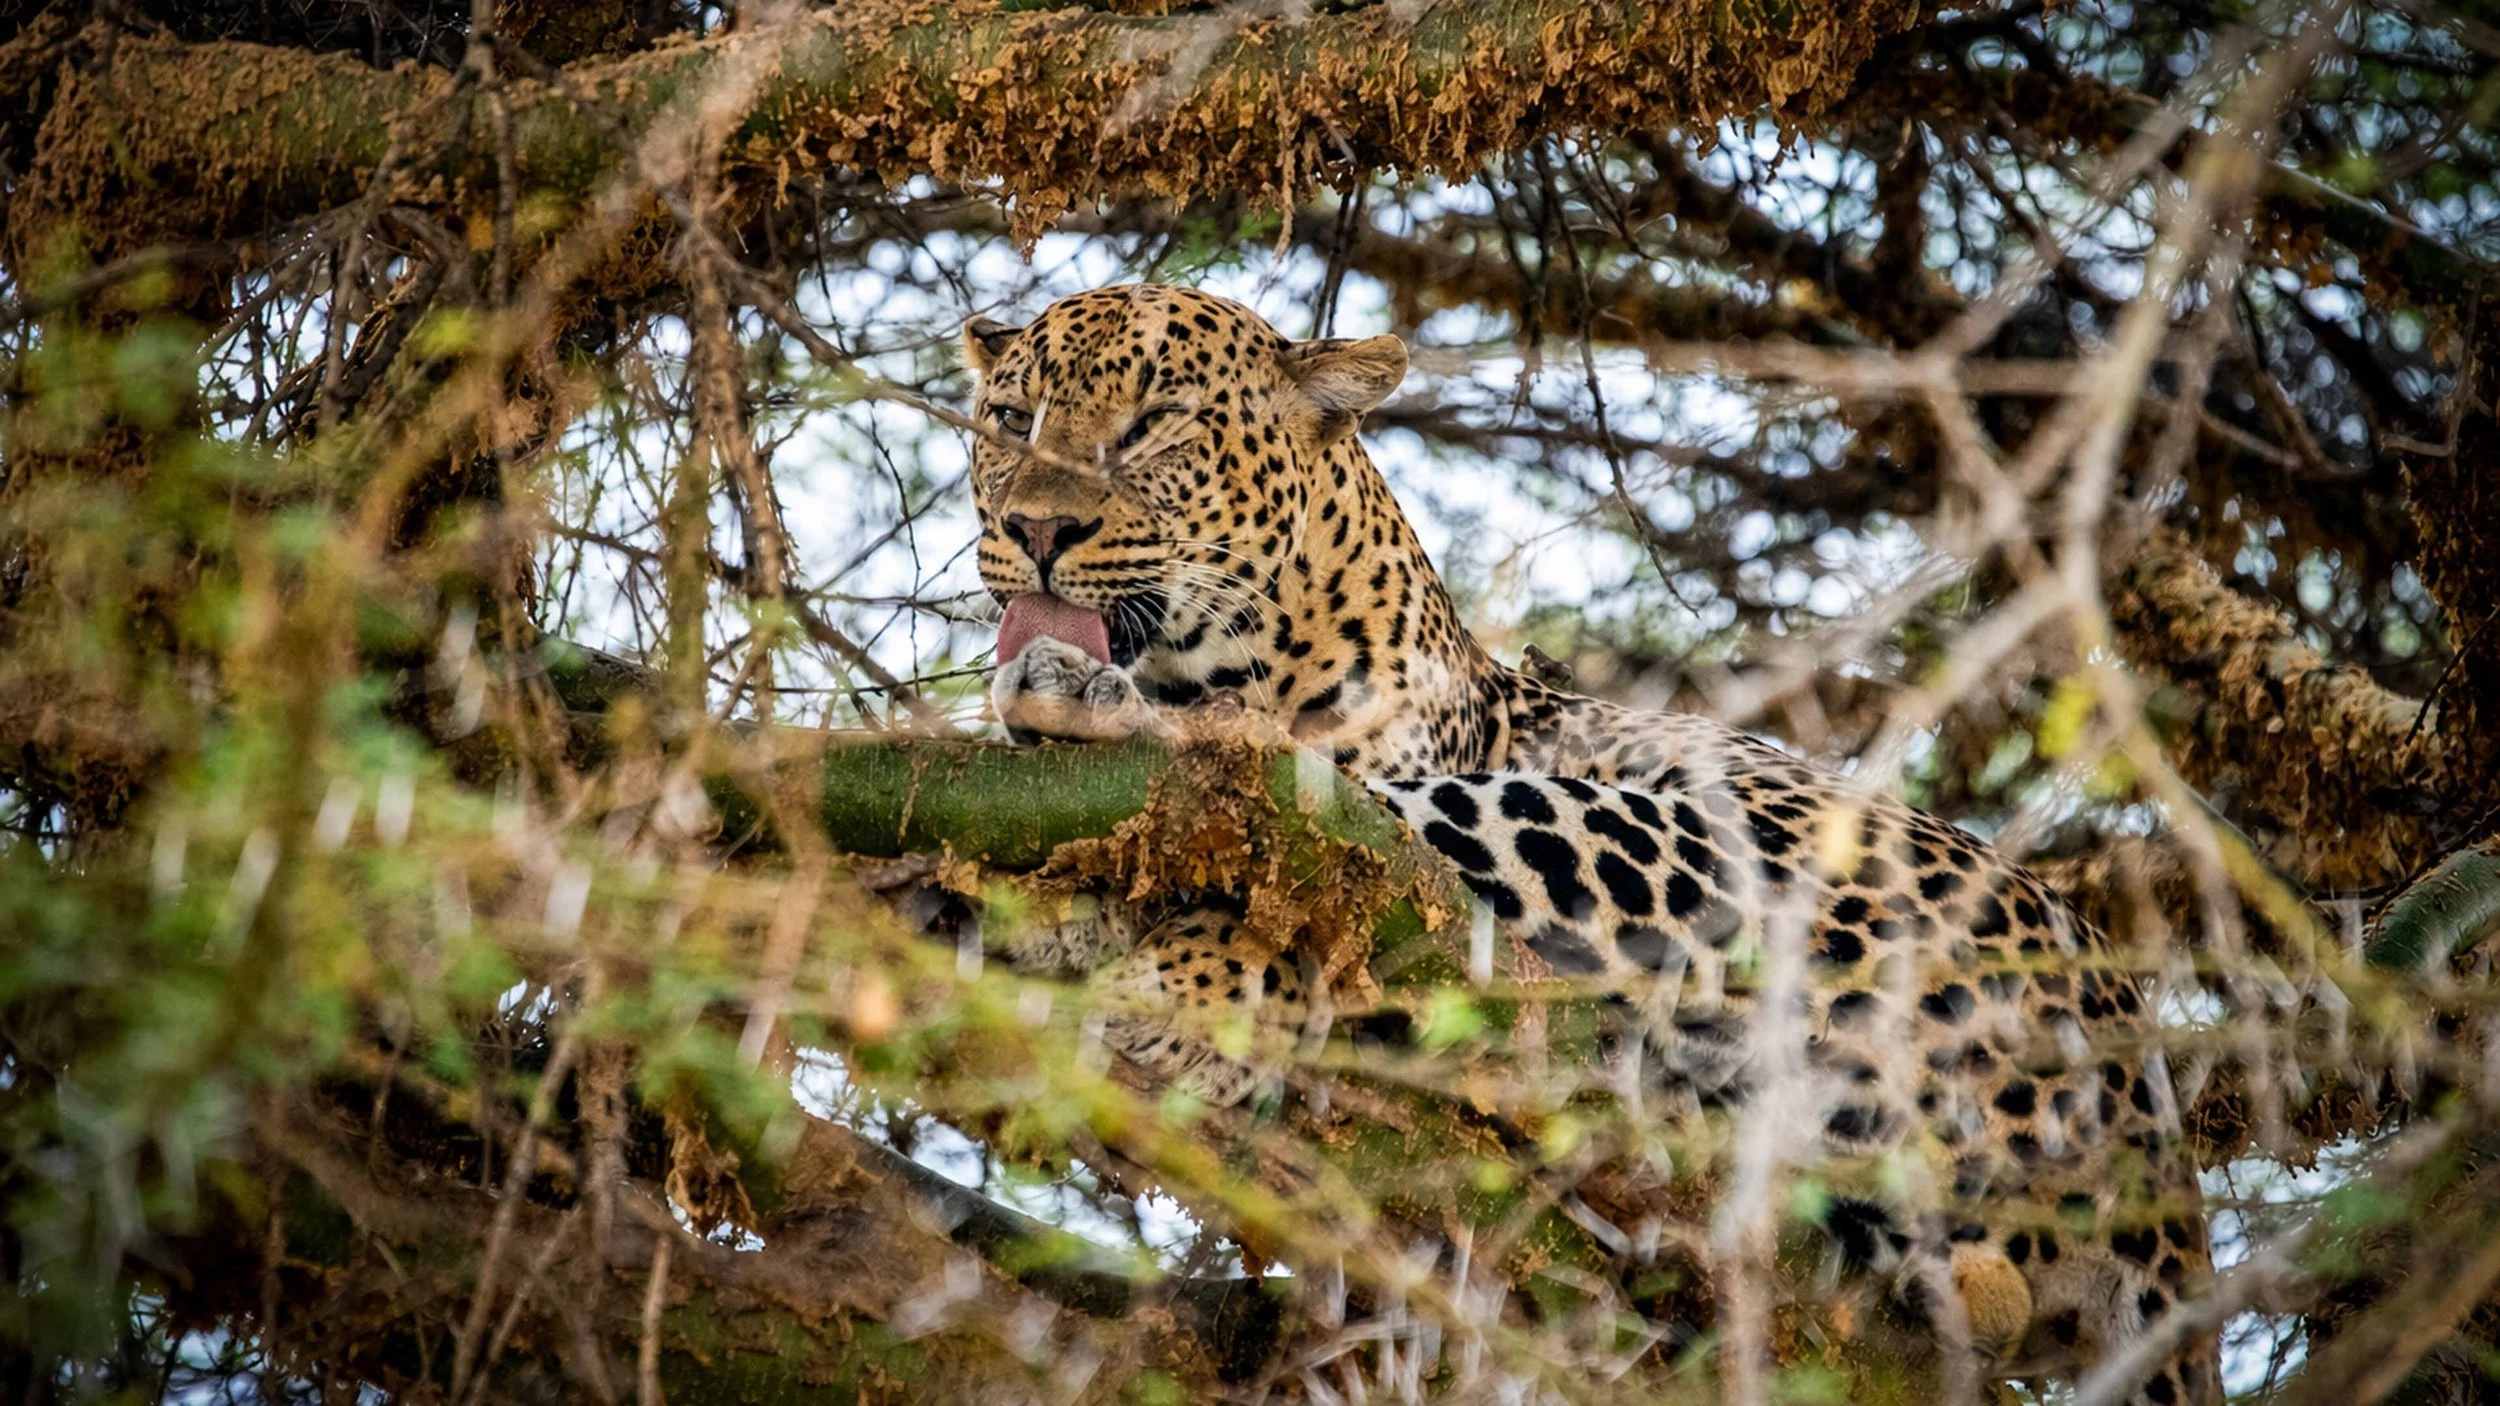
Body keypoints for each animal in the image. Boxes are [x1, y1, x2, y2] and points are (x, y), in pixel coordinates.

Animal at [958, 283, 2218, 1404]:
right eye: (1010, 420)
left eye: (1149, 425)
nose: (1036, 529)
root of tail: (2169, 1182)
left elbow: (1315, 870)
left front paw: (1193, 983)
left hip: (1758, 850)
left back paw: (1091, 721)